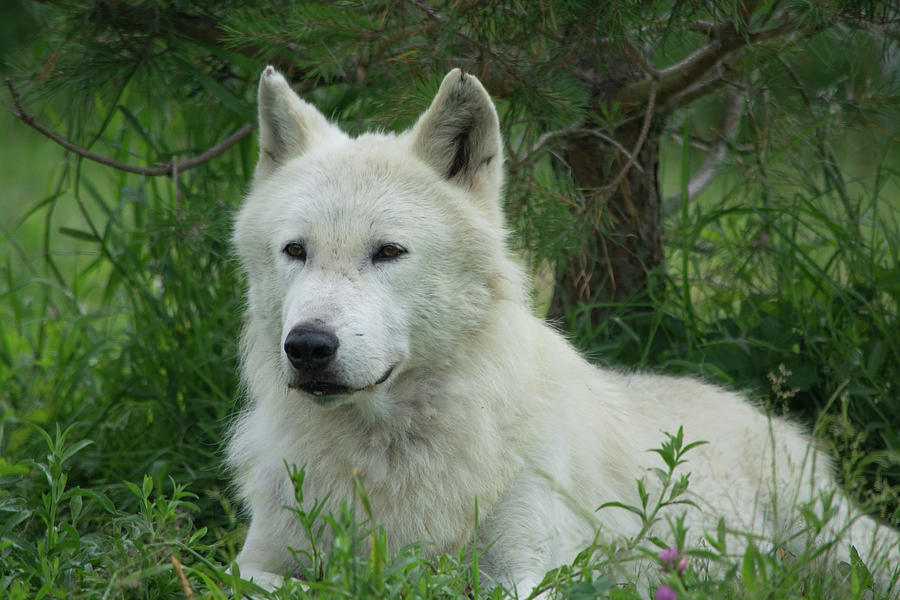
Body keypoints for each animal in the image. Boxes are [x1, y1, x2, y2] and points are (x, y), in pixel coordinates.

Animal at [227, 67, 900, 596]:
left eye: (389, 251)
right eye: (296, 250)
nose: (308, 346)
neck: (390, 452)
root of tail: (768, 417)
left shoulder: (527, 570)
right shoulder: (252, 562)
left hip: (844, 545)